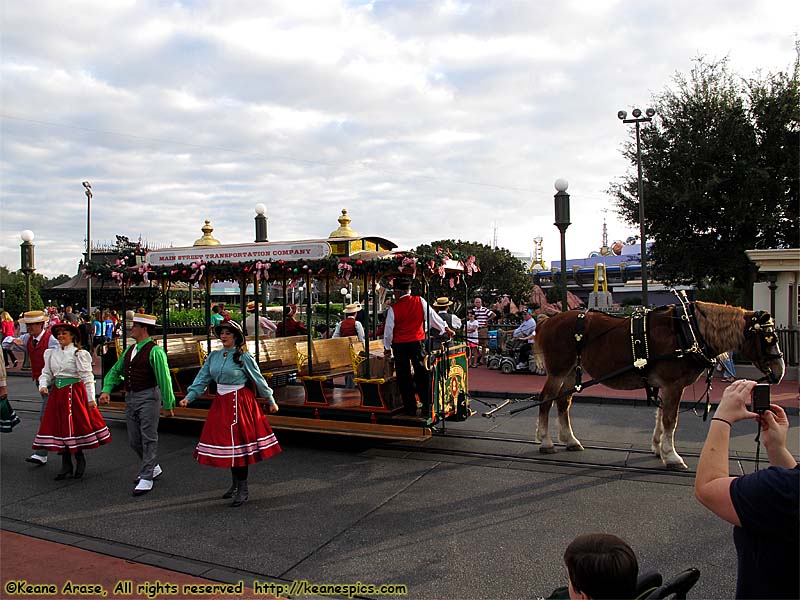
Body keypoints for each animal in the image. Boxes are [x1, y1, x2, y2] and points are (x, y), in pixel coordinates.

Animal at [536, 300, 784, 468]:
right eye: (769, 338)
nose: (780, 372)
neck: (688, 332)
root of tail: (549, 320)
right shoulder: (674, 384)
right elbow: (670, 419)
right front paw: (672, 456)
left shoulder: (666, 385)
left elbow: (661, 415)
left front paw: (658, 448)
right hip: (557, 371)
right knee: (545, 401)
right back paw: (546, 442)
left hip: (570, 372)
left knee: (563, 402)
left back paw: (570, 440)